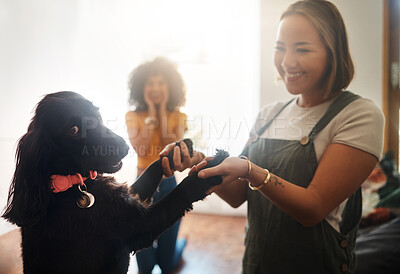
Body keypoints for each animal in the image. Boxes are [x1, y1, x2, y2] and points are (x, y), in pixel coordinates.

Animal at [1, 91, 228, 272]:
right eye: (73, 130)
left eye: (96, 115)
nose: (124, 147)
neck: (70, 185)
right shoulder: (140, 227)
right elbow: (181, 192)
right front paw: (212, 167)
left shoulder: (128, 198)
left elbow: (153, 168)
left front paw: (177, 150)